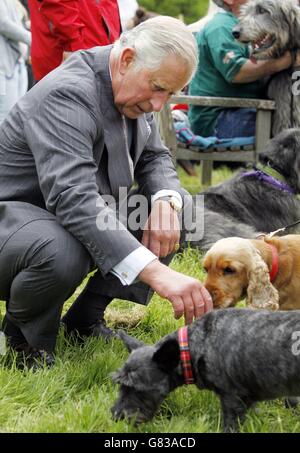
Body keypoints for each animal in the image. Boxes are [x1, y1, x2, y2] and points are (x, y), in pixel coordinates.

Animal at [110, 308, 300, 430]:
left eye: (138, 389)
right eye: (120, 384)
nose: (116, 417)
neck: (195, 346)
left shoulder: (232, 399)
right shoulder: (247, 399)